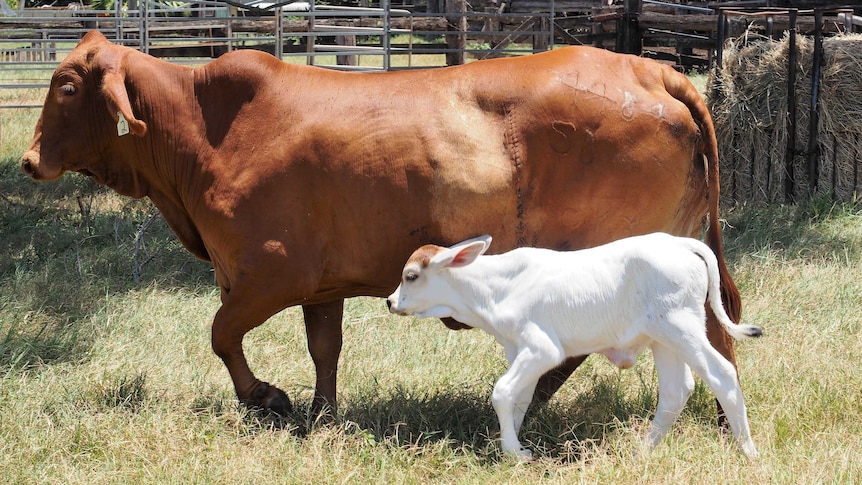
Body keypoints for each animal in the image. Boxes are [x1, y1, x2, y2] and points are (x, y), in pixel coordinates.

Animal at [20, 30, 744, 418]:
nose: (27, 161)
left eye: (67, 87)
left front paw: (268, 398)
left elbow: (223, 335)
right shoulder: (321, 286)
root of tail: (650, 69)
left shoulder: (270, 275)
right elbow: (324, 348)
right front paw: (322, 412)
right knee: (714, 330)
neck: (205, 130)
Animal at [392, 233, 764, 460]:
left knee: (722, 374)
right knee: (676, 390)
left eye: (411, 276)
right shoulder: (518, 350)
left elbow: (501, 392)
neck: (496, 287)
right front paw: (511, 447)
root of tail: (681, 243)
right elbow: (518, 398)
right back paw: (642, 450)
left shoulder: (543, 350)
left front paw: (514, 452)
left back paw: (749, 452)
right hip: (665, 339)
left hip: (682, 328)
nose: (390, 301)